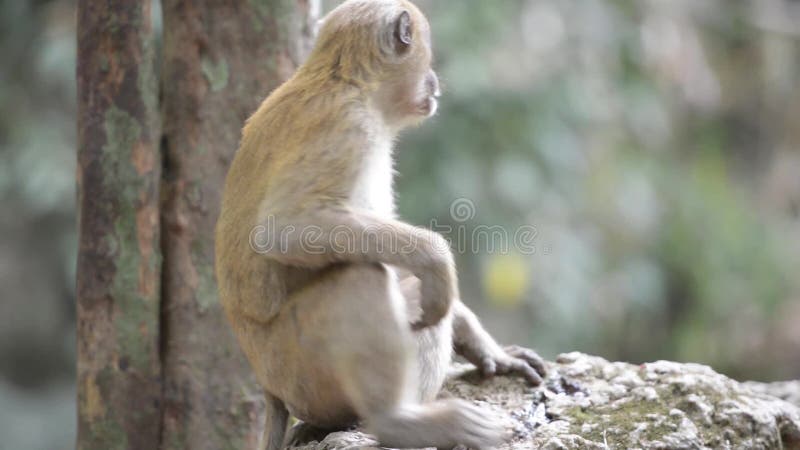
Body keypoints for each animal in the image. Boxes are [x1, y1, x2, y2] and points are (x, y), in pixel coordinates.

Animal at [216, 1, 548, 448]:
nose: (434, 82)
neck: (349, 81)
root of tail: (269, 389)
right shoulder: (348, 127)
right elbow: (284, 229)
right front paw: (436, 256)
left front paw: (488, 349)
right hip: (297, 367)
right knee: (359, 277)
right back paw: (398, 422)